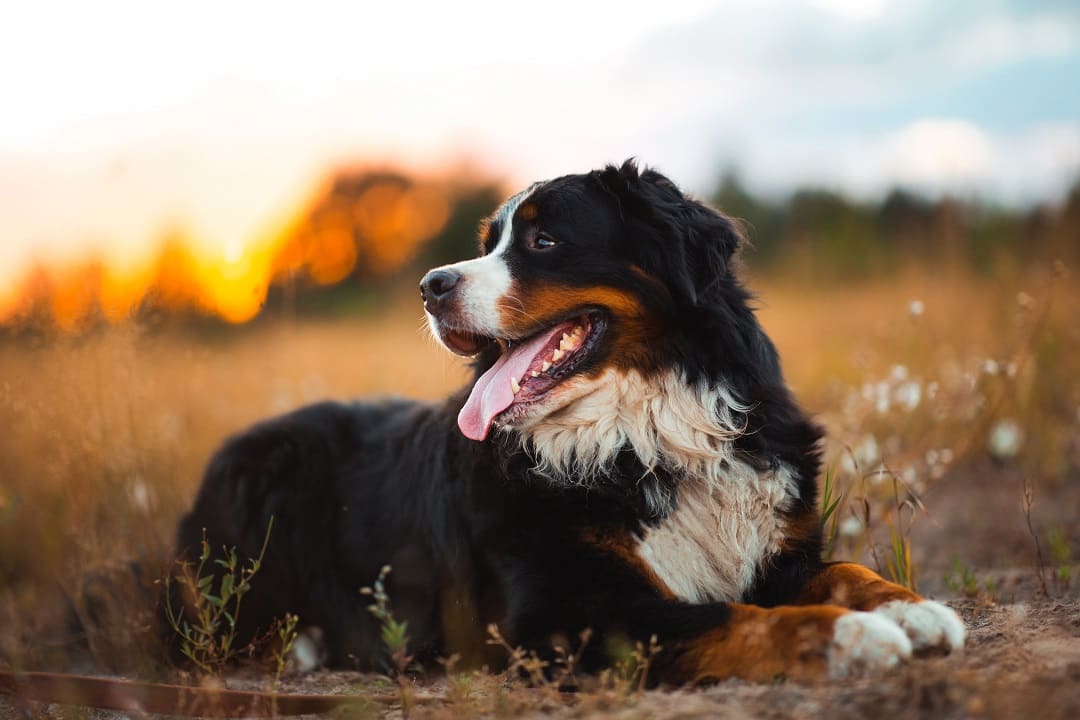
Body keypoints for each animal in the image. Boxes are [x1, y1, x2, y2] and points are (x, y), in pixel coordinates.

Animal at [172, 160, 967, 686]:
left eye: (544, 242)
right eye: (490, 243)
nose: (430, 286)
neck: (646, 434)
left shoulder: (777, 550)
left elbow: (847, 571)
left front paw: (915, 611)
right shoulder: (565, 610)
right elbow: (734, 619)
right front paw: (851, 638)